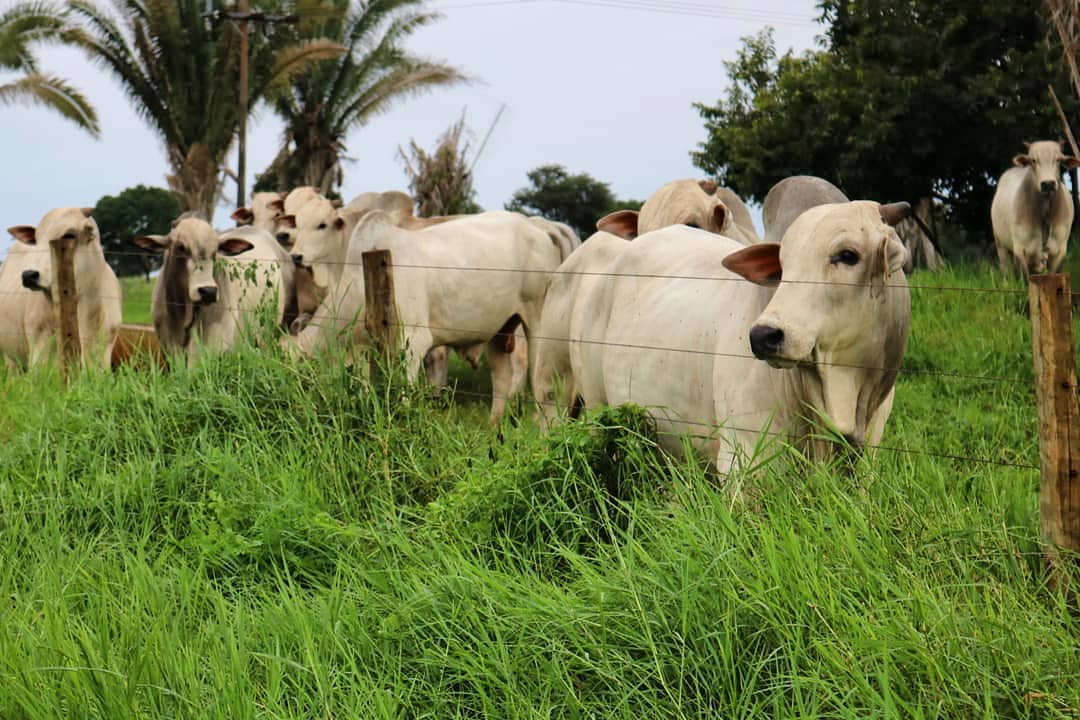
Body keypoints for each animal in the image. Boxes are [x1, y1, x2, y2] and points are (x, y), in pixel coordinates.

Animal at [1, 205, 123, 369]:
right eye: (36, 240)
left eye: (69, 235)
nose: (28, 275)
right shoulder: (40, 345)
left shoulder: (104, 350)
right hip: (11, 358)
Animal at [291, 208, 570, 423]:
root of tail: (538, 227)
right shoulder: (363, 349)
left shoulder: (413, 341)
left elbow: (406, 392)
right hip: (500, 328)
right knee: (502, 375)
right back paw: (494, 425)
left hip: (536, 321)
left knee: (538, 374)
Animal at [989, 139, 1075, 278]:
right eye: (1033, 160)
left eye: (1058, 160)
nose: (1048, 184)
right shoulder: (1020, 249)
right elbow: (1025, 279)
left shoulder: (1060, 250)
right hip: (1000, 245)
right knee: (1007, 272)